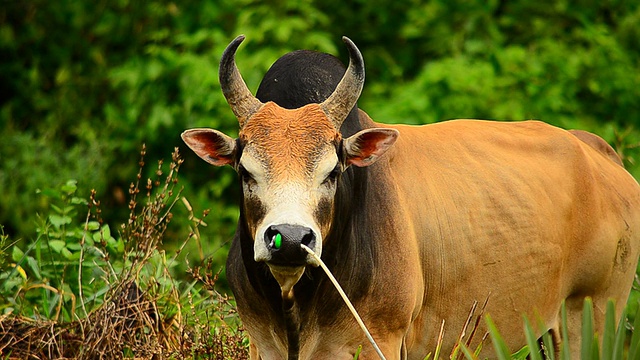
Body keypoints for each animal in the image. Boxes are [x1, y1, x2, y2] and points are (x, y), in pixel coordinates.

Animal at [180, 35, 640, 358]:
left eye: (333, 172)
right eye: (245, 170)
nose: (290, 240)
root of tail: (600, 153)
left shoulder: (376, 340)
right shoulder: (263, 342)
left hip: (594, 316)